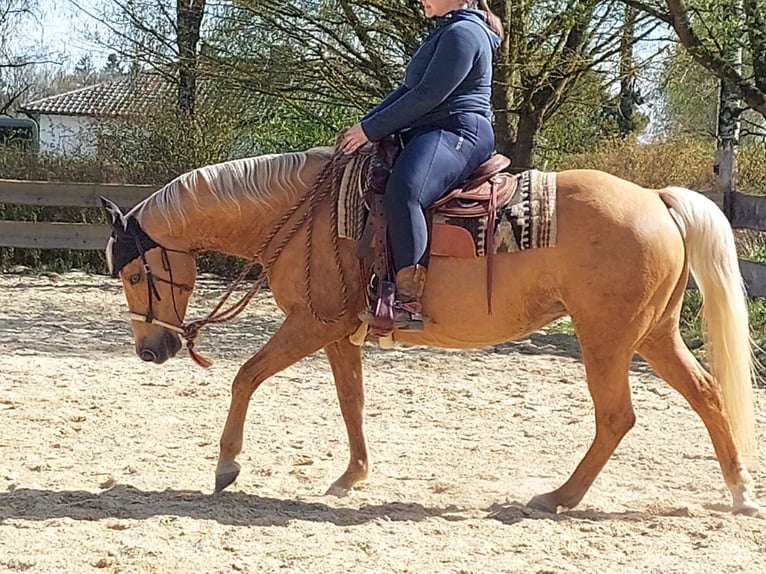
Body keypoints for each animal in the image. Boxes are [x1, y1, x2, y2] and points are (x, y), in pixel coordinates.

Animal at [101, 146, 760, 515]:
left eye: (133, 272)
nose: (149, 350)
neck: (304, 213)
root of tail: (656, 198)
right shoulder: (338, 334)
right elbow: (351, 401)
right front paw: (351, 476)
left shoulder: (311, 324)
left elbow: (245, 377)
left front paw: (227, 465)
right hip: (653, 335)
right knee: (708, 396)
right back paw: (740, 493)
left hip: (607, 339)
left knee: (616, 418)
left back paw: (559, 498)